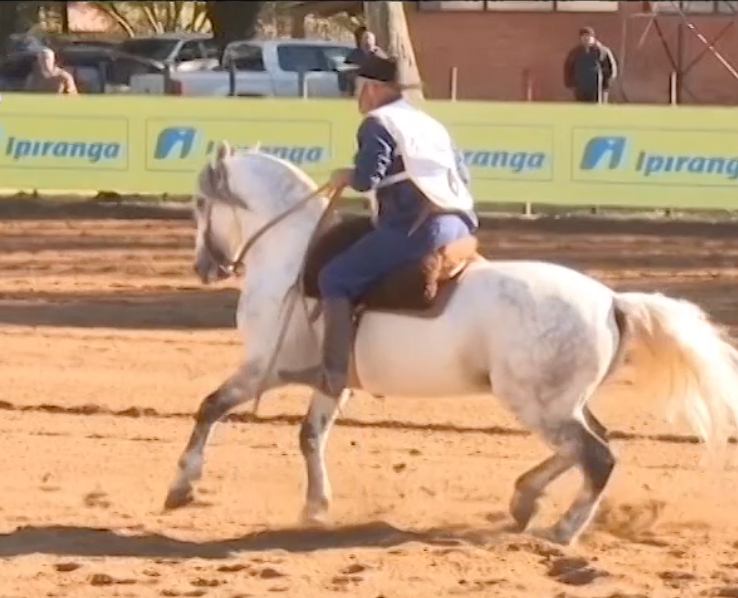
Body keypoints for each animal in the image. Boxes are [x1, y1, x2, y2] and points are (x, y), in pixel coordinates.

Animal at [165, 142, 736, 548]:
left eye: (199, 202)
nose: (205, 268)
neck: (293, 258)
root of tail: (612, 301)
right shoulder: (330, 380)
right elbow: (310, 436)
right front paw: (316, 507)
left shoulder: (264, 366)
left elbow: (209, 407)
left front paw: (182, 486)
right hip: (559, 403)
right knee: (588, 445)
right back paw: (525, 500)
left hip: (537, 404)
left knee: (597, 457)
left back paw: (562, 530)